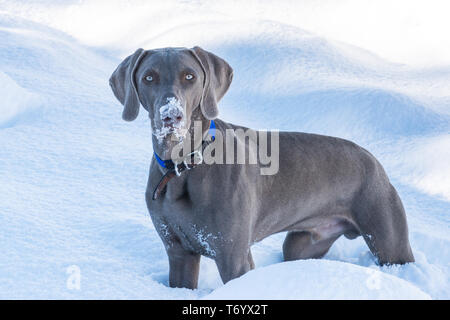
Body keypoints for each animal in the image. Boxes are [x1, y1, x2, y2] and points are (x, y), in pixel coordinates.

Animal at [109, 46, 414, 288]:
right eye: (149, 78)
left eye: (190, 77)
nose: (171, 116)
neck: (183, 166)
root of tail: (374, 160)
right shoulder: (179, 252)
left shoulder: (233, 257)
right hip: (301, 245)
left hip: (389, 244)